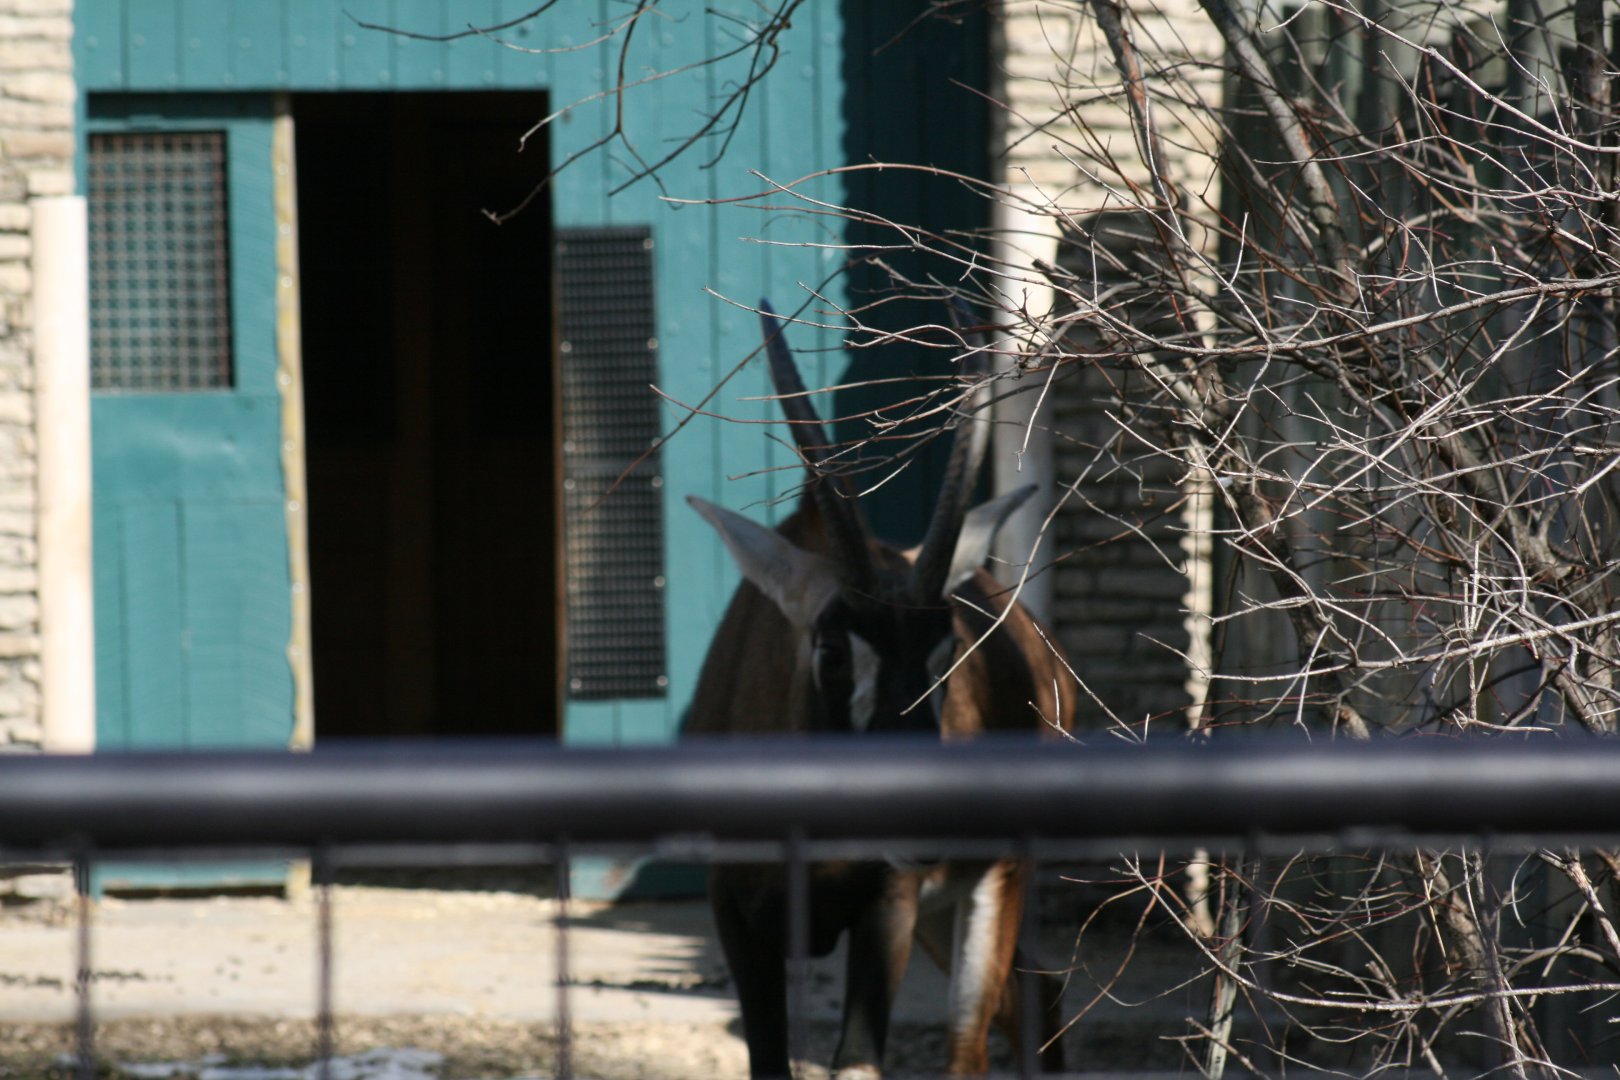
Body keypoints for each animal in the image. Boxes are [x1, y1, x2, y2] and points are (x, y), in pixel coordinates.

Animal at [684, 302, 1078, 1078]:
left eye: (948, 650)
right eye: (833, 649)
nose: (927, 826)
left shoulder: (887, 906)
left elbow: (859, 1062)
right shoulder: (735, 913)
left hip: (990, 881)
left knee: (970, 1044)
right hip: (942, 909)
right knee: (1037, 990)